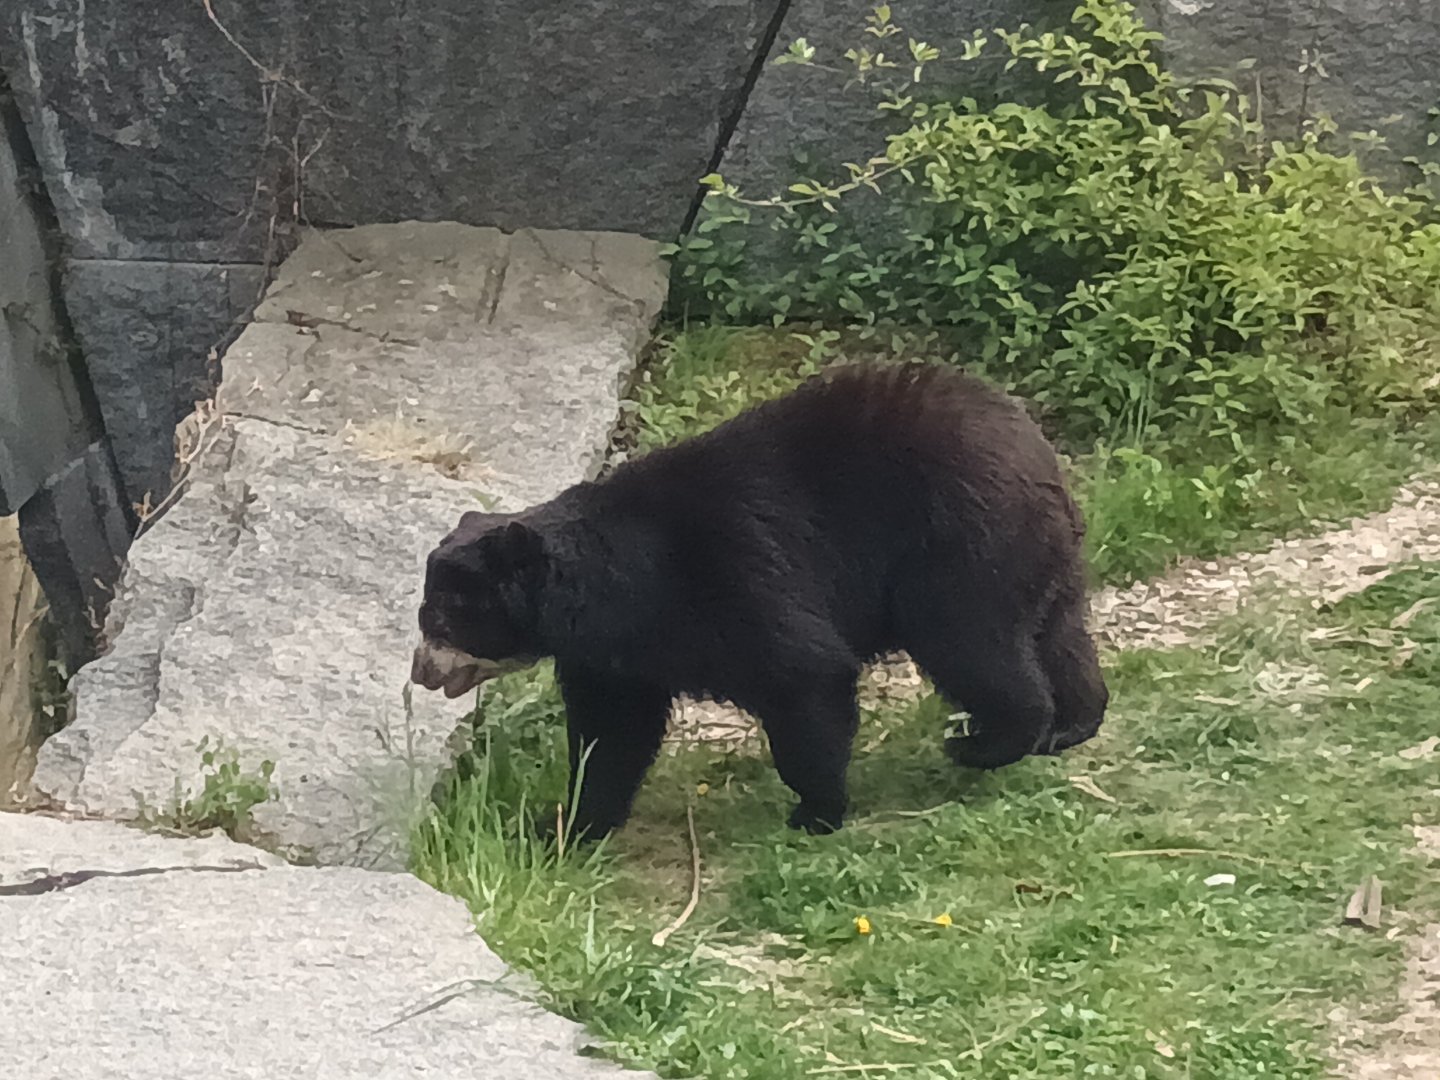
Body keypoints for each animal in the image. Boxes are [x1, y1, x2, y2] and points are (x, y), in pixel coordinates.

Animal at [410, 362, 1107, 838]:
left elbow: (805, 675)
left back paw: (985, 742)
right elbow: (612, 735)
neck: (612, 592)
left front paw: (816, 810)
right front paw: (565, 825)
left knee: (971, 645)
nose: (420, 673)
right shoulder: (616, 656)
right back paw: (1071, 725)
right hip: (1038, 558)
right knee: (1059, 635)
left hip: (957, 547)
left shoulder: (729, 577)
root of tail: (1042, 459)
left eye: (442, 618)